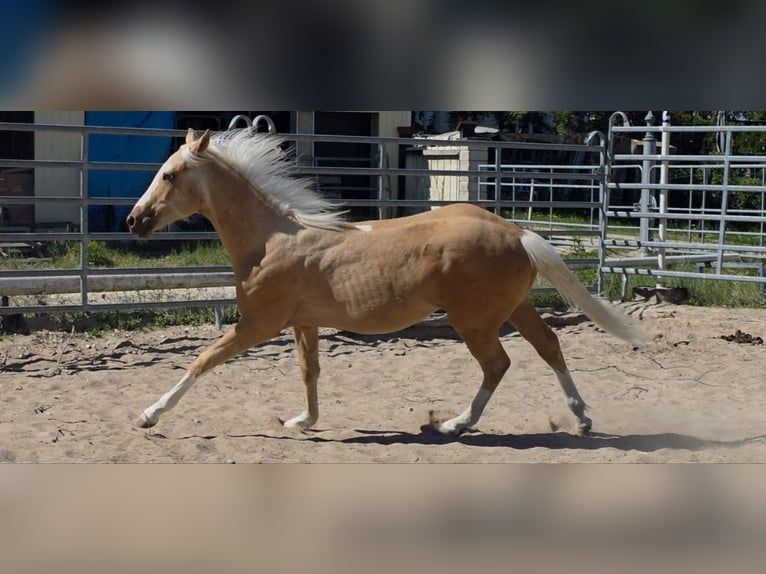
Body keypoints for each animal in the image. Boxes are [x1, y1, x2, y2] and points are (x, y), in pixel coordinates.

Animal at [126, 128, 643, 436]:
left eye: (168, 174)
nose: (134, 221)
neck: (271, 240)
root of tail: (515, 232)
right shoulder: (302, 323)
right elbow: (309, 371)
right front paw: (303, 420)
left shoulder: (258, 324)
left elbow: (203, 360)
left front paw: (149, 415)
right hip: (515, 308)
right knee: (549, 346)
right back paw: (581, 419)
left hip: (475, 321)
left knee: (498, 364)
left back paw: (455, 425)